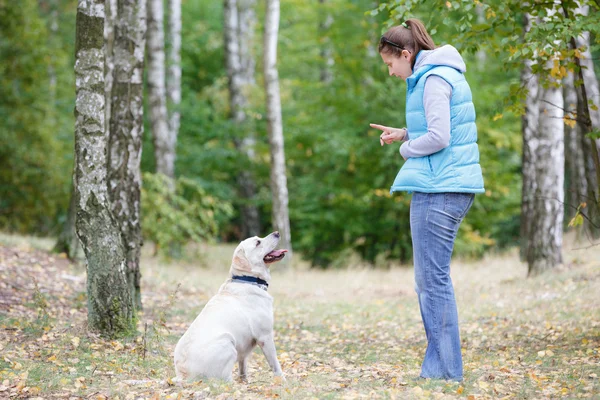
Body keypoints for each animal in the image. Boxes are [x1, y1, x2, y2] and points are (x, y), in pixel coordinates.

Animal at [173, 231, 288, 382]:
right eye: (258, 242)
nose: (277, 233)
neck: (248, 280)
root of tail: (184, 375)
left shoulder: (244, 351)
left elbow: (243, 366)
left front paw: (245, 381)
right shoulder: (265, 336)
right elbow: (275, 364)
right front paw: (284, 381)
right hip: (228, 342)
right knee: (224, 380)